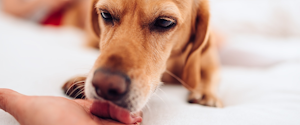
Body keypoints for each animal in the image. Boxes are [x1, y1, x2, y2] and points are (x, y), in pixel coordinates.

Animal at [63, 0, 223, 119]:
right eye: (105, 14)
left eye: (165, 22)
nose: (105, 86)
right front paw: (81, 79)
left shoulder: (209, 62)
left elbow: (208, 76)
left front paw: (206, 93)